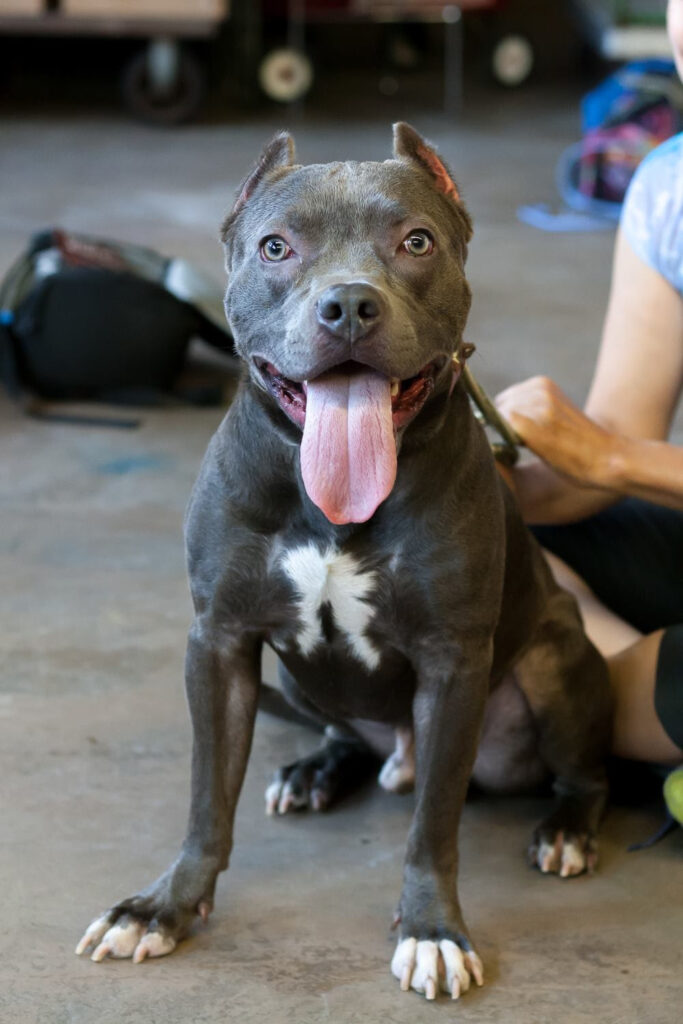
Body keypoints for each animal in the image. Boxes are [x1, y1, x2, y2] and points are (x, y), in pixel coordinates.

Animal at [76, 124, 612, 1001]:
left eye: (416, 241)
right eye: (276, 247)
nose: (350, 304)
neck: (330, 504)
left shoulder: (452, 664)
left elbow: (435, 825)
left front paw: (432, 930)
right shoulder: (218, 643)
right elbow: (206, 802)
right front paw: (162, 909)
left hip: (553, 657)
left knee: (583, 775)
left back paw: (564, 831)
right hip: (295, 679)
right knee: (343, 734)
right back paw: (316, 771)